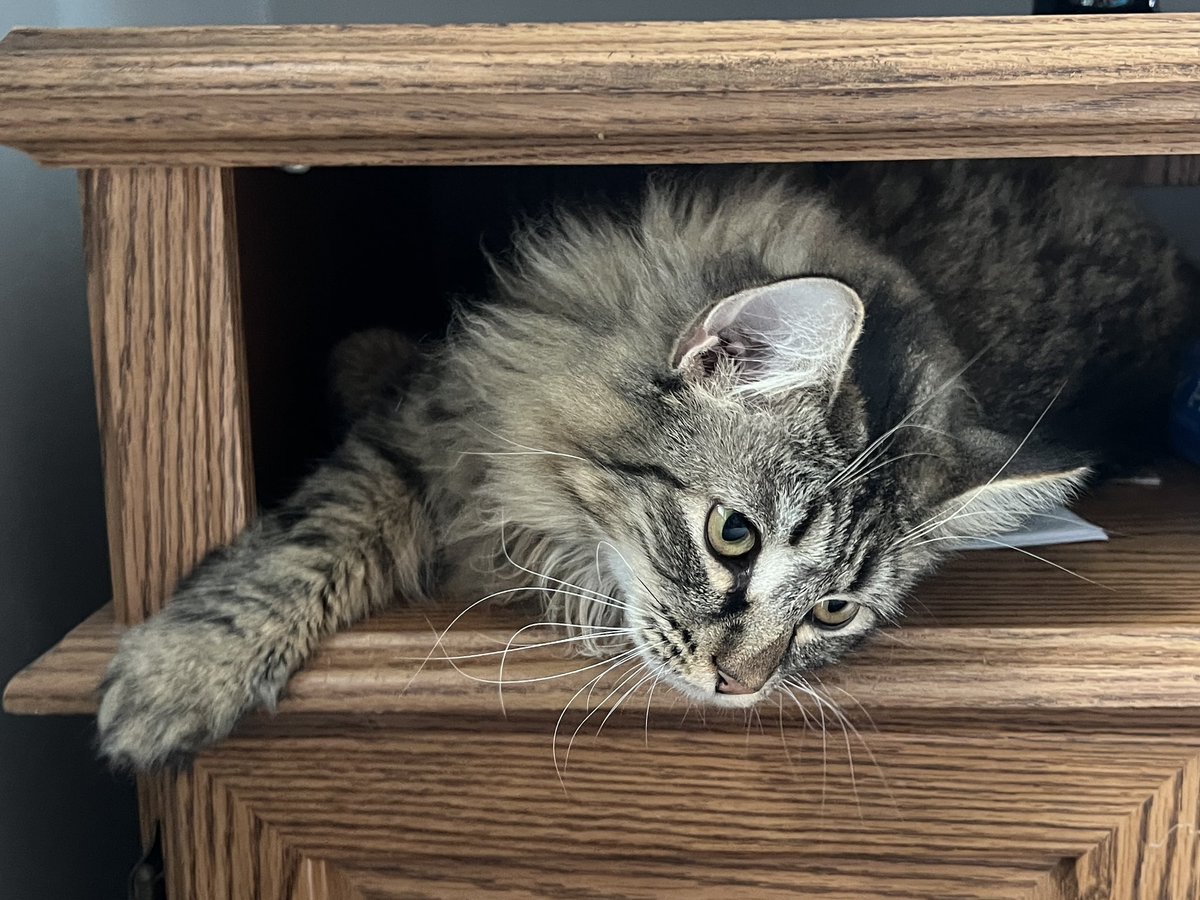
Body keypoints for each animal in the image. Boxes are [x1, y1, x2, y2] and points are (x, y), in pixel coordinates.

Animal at [96, 160, 1200, 768]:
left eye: (834, 610)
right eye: (734, 536)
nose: (740, 690)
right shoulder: (439, 432)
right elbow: (302, 548)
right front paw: (179, 674)